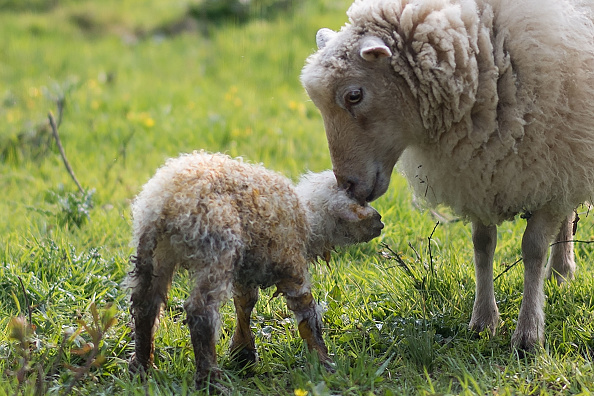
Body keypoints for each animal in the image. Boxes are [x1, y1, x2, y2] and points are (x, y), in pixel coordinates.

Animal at [126, 150, 382, 388]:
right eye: (362, 202)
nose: (380, 221)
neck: (310, 221)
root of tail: (167, 200)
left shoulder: (246, 272)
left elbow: (245, 304)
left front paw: (242, 352)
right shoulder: (292, 266)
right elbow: (307, 314)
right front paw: (324, 363)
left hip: (154, 253)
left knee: (145, 304)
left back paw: (141, 368)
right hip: (217, 248)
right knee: (201, 312)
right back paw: (210, 381)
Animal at [298, 0, 592, 352]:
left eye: (354, 95)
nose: (347, 186)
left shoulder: (550, 167)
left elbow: (533, 249)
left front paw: (528, 333)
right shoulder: (481, 172)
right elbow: (483, 245)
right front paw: (483, 320)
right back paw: (560, 274)